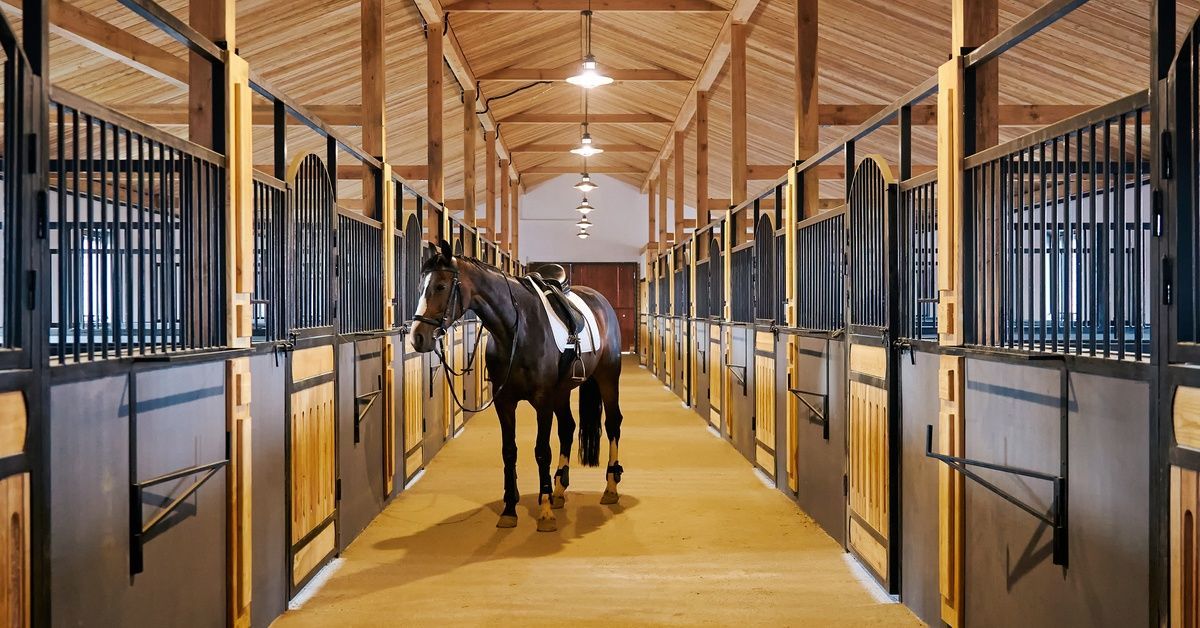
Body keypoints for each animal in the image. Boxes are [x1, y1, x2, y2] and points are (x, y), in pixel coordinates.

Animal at [409, 240, 625, 532]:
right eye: (421, 286)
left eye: (441, 286)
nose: (417, 337)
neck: (516, 331)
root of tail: (601, 301)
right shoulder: (505, 401)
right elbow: (509, 451)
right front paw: (510, 509)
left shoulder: (542, 401)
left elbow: (541, 451)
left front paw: (545, 513)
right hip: (562, 391)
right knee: (568, 429)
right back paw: (559, 490)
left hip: (607, 378)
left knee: (613, 423)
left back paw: (610, 487)